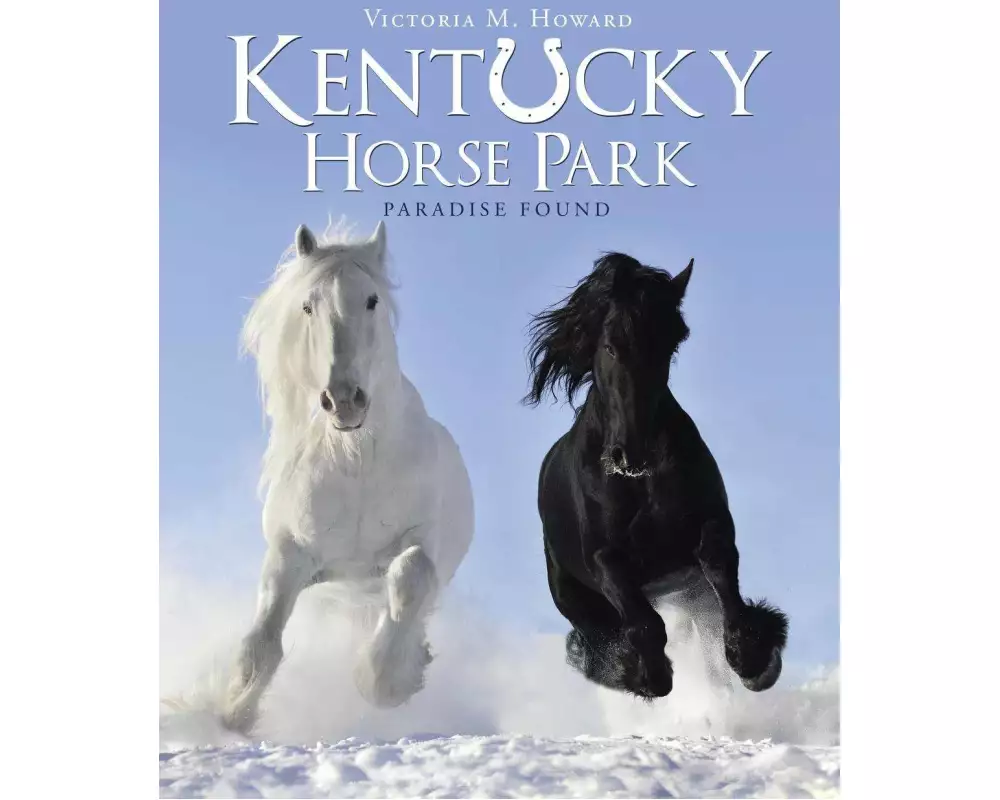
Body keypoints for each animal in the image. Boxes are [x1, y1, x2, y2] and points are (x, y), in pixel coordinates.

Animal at [221, 220, 474, 734]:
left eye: (372, 299)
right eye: (307, 305)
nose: (344, 400)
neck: (356, 461)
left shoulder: (423, 540)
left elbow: (412, 577)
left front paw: (387, 681)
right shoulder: (291, 553)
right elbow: (262, 643)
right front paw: (231, 713)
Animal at [524, 251, 788, 700]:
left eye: (670, 346)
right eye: (610, 345)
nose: (632, 454)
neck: (638, 484)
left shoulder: (711, 524)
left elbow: (723, 575)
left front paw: (755, 659)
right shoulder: (605, 558)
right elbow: (644, 624)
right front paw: (647, 674)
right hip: (576, 598)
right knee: (597, 643)